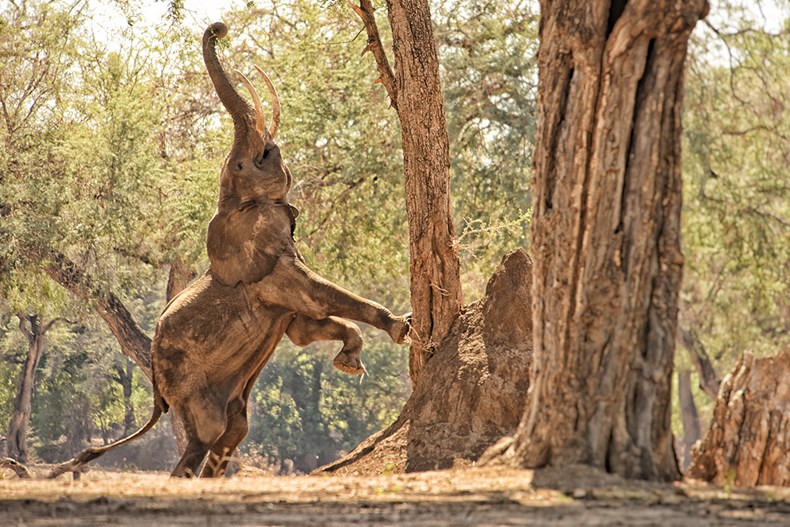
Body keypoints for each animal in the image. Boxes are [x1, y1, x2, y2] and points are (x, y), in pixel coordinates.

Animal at [46, 22, 412, 480]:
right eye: (241, 165)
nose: (219, 28)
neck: (234, 204)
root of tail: (155, 389)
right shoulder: (268, 271)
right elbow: (317, 295)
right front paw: (404, 328)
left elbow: (304, 329)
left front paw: (350, 362)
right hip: (187, 382)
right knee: (207, 434)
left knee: (235, 428)